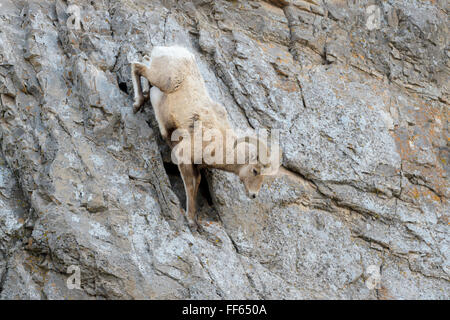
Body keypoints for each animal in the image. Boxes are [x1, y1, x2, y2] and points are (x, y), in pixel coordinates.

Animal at [130, 45, 282, 230]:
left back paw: (145, 93)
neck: (221, 145)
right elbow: (190, 185)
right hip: (164, 80)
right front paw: (190, 220)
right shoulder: (184, 156)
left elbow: (196, 185)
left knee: (144, 62)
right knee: (137, 66)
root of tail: (171, 50)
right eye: (255, 171)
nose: (253, 195)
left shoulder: (197, 167)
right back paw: (137, 103)